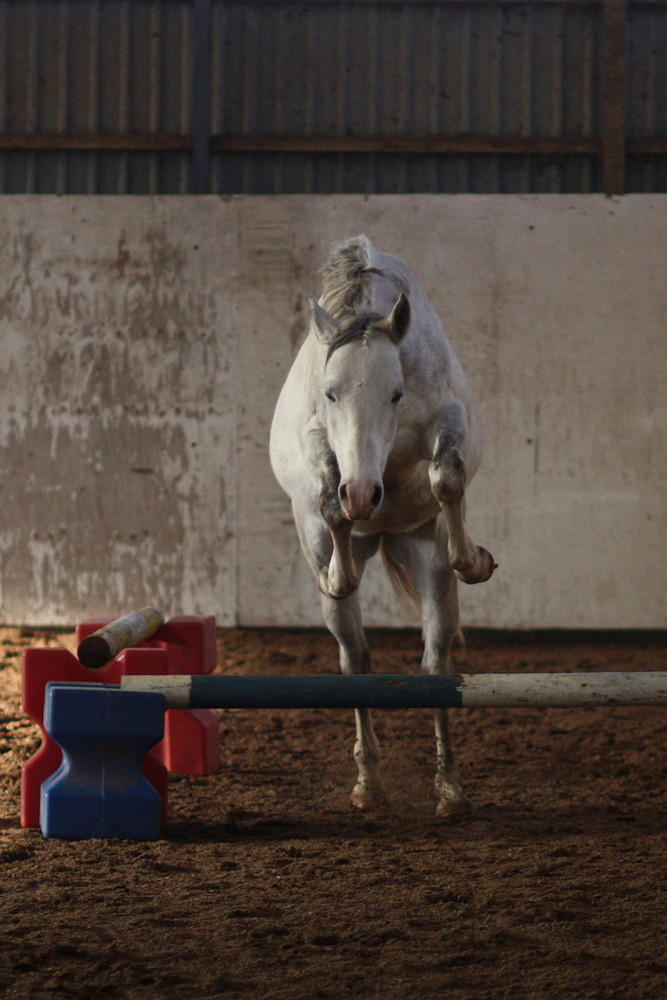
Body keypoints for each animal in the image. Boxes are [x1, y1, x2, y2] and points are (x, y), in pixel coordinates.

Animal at [268, 238, 494, 816]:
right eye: (330, 392)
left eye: (396, 393)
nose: (365, 496)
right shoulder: (315, 443)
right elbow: (327, 499)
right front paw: (337, 570)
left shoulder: (449, 420)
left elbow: (446, 477)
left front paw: (475, 560)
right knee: (355, 661)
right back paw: (368, 782)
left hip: (422, 555)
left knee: (436, 665)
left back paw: (448, 785)